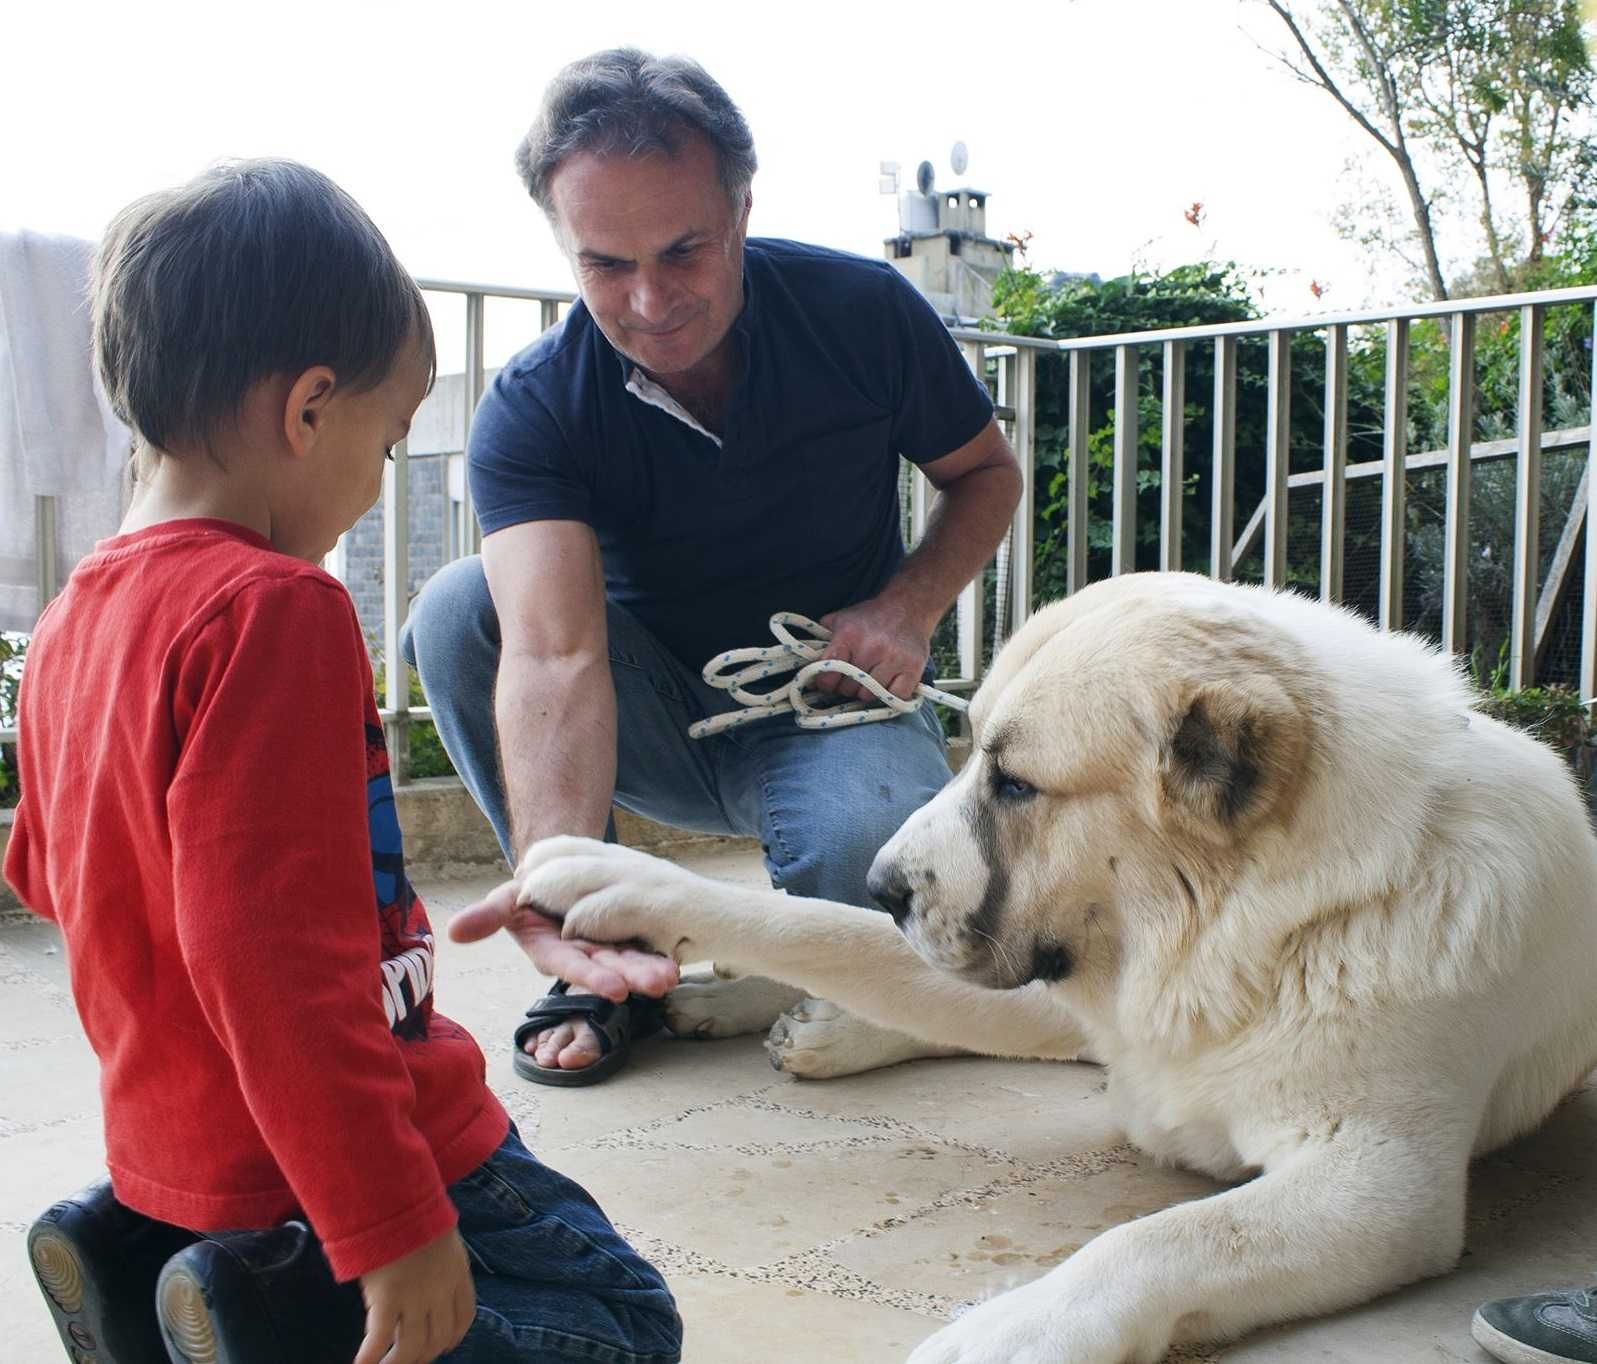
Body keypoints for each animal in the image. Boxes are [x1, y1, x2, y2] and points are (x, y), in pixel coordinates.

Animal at [511, 578, 1597, 1364]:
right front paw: (619, 880)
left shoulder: (1377, 1181)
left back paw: (813, 1027)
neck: (1252, 932)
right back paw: (759, 1006)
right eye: (968, 757)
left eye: (1015, 783)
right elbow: (810, 921)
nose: (882, 882)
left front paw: (1008, 1328)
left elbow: (1166, 1237)